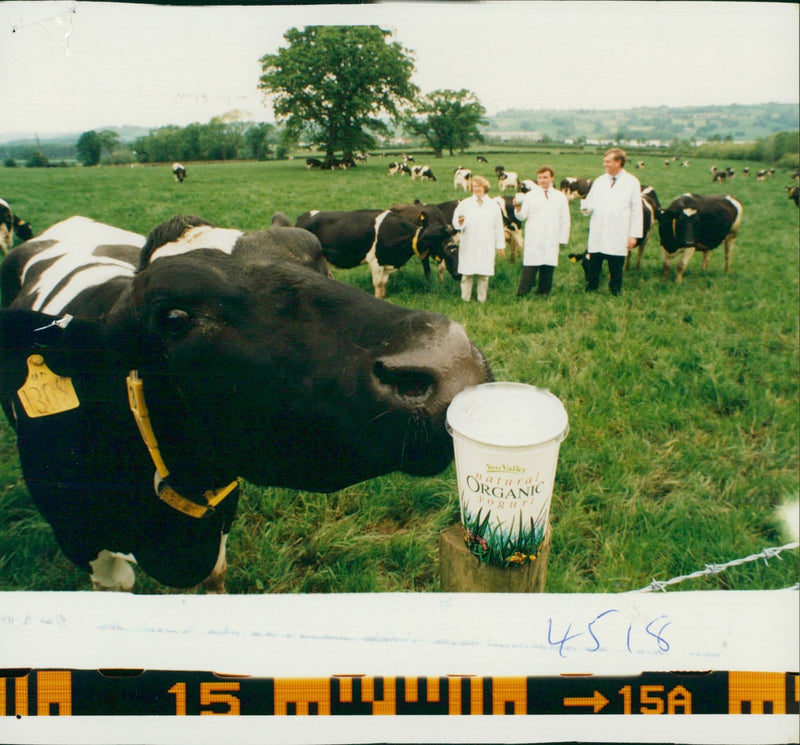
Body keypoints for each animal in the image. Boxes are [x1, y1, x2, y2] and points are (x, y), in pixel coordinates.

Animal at [296, 208, 454, 298]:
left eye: (444, 235)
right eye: (432, 237)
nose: (449, 249)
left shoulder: (385, 261)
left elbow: (383, 283)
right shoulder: (375, 261)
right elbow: (378, 284)